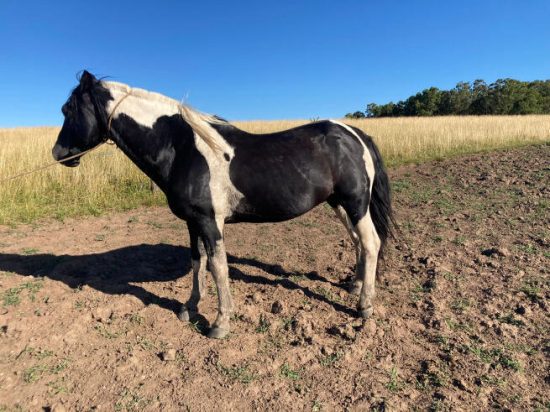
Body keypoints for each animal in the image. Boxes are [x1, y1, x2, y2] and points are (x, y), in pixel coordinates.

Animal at [52, 71, 392, 340]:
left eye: (68, 109)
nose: (58, 153)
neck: (184, 149)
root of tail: (354, 134)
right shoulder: (192, 222)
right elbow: (197, 262)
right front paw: (189, 307)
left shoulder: (209, 221)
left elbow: (218, 267)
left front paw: (220, 323)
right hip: (340, 204)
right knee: (357, 242)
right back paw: (354, 286)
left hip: (355, 203)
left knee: (370, 242)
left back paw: (364, 306)